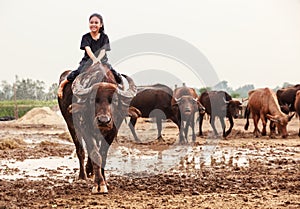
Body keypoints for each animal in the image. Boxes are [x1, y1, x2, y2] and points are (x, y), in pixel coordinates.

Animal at [57, 63, 137, 193]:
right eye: (92, 99)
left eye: (114, 100)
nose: (103, 121)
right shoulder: (85, 128)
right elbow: (95, 154)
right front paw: (99, 184)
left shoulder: (112, 131)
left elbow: (103, 154)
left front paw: (104, 180)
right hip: (72, 126)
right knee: (81, 150)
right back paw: (83, 176)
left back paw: (90, 171)